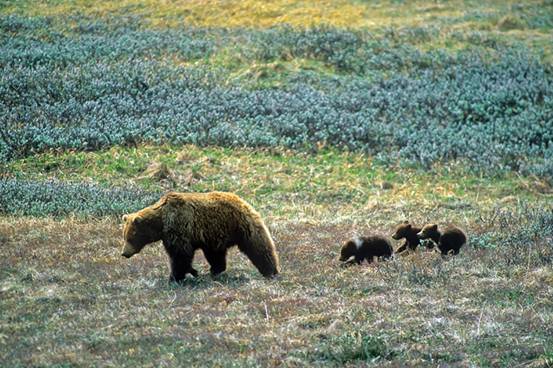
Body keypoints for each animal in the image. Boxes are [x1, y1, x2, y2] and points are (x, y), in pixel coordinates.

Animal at [119, 191, 278, 280]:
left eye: (131, 237)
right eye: (124, 236)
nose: (124, 253)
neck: (161, 223)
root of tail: (243, 201)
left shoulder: (178, 226)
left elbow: (180, 255)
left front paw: (174, 277)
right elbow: (181, 256)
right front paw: (193, 271)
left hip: (240, 225)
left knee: (259, 247)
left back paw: (271, 271)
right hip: (214, 235)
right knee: (216, 255)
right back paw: (215, 270)